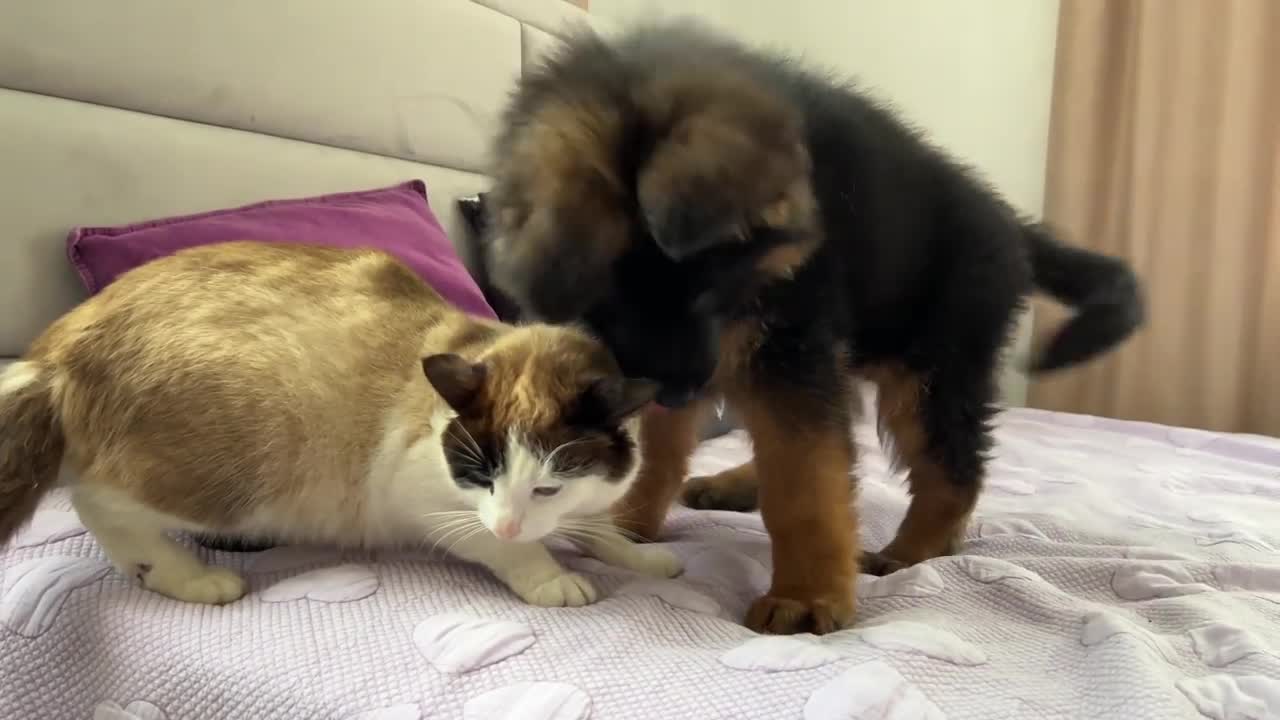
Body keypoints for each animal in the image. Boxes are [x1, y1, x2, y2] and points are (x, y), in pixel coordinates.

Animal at [0, 240, 680, 604]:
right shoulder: (421, 498)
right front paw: (551, 577)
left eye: (547, 487)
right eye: (481, 477)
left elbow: (603, 531)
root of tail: (54, 349)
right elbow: (508, 546)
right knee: (96, 501)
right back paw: (192, 578)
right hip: (253, 459)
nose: (510, 521)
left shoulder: (587, 499)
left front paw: (647, 560)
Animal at [483, 19, 1146, 630]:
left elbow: (805, 481)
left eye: (715, 290)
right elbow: (659, 451)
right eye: (608, 304)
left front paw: (806, 596)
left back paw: (915, 548)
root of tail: (1012, 224)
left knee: (951, 465)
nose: (681, 392)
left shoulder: (784, 346)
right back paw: (738, 484)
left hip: (931, 367)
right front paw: (625, 526)